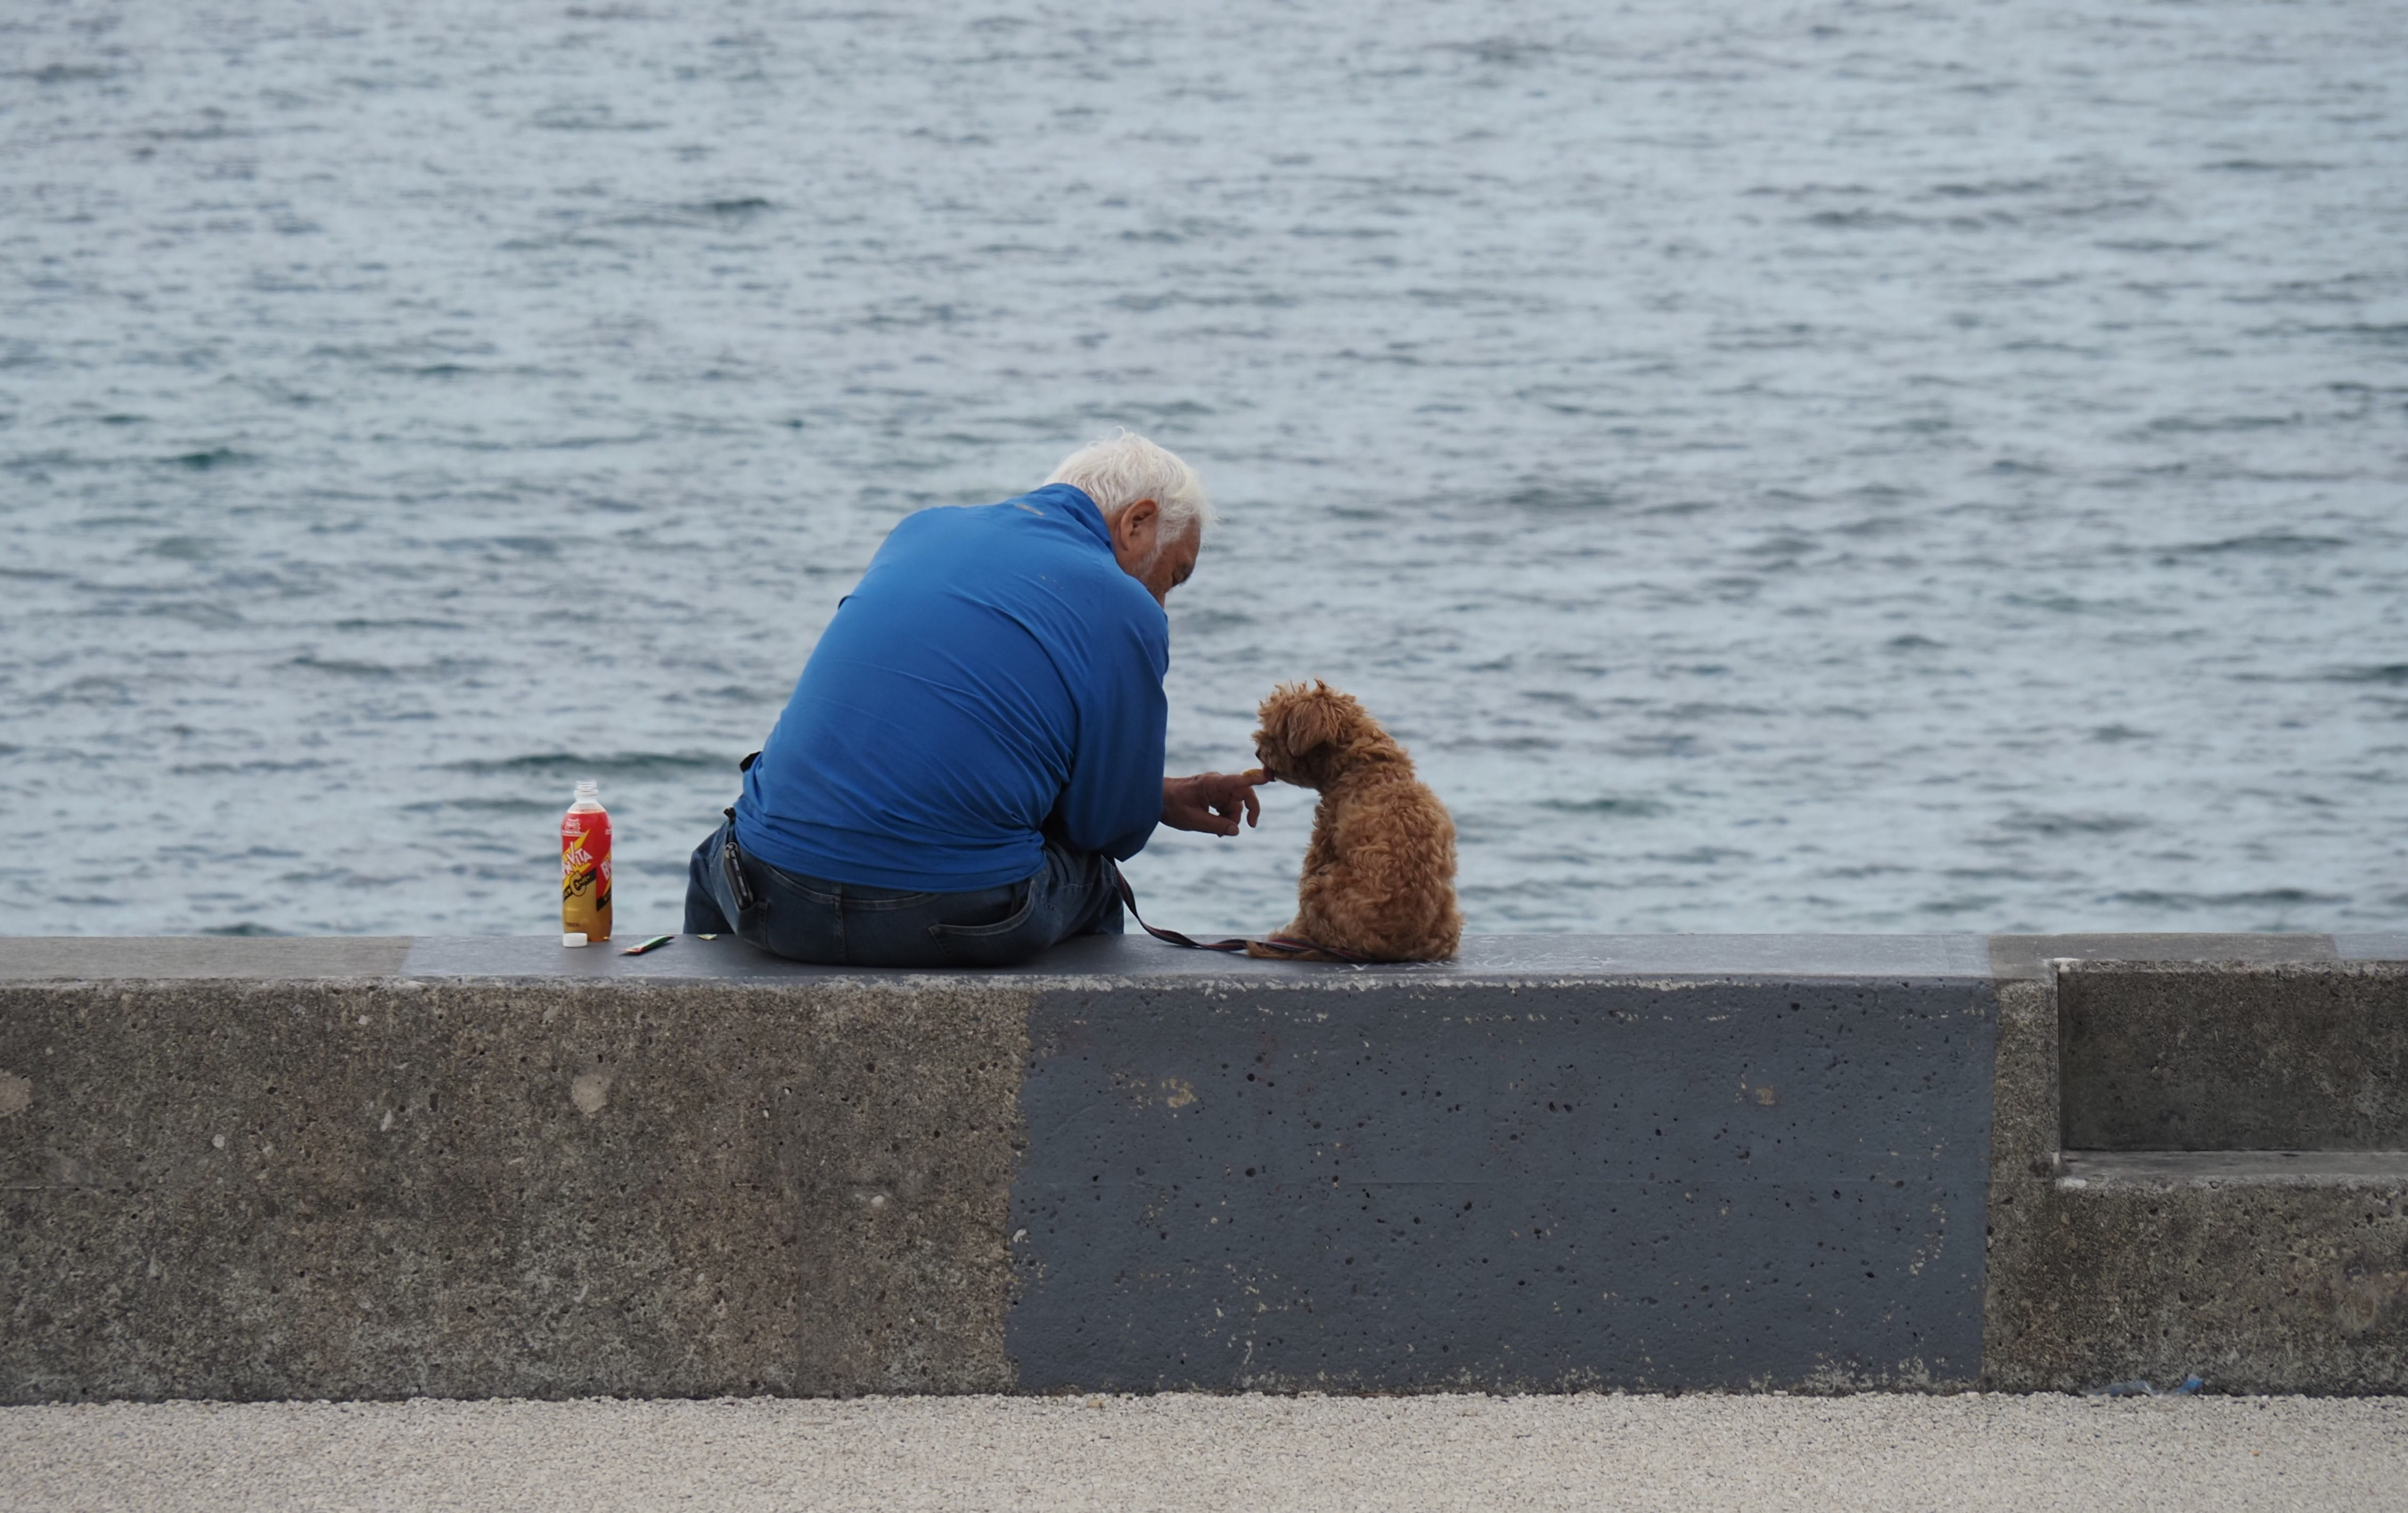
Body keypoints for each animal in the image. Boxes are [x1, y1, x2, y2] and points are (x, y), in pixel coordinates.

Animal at [1252, 684, 1454, 963]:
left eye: (1275, 730)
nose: (1257, 752)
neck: (1369, 770)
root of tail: (1394, 950)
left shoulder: (1323, 843)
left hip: (1321, 888)